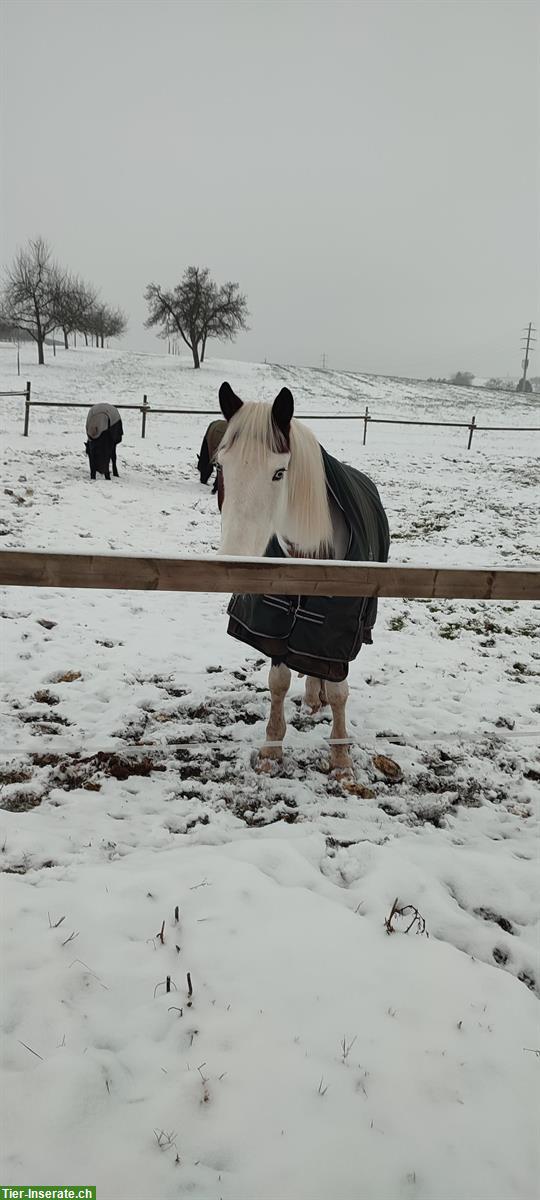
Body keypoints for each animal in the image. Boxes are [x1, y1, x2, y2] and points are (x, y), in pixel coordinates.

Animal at [214, 381, 388, 777]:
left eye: (279, 472)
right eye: (220, 465)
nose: (235, 563)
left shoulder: (339, 634)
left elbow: (339, 692)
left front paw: (341, 760)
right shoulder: (275, 624)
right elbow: (278, 682)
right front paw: (271, 750)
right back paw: (311, 697)